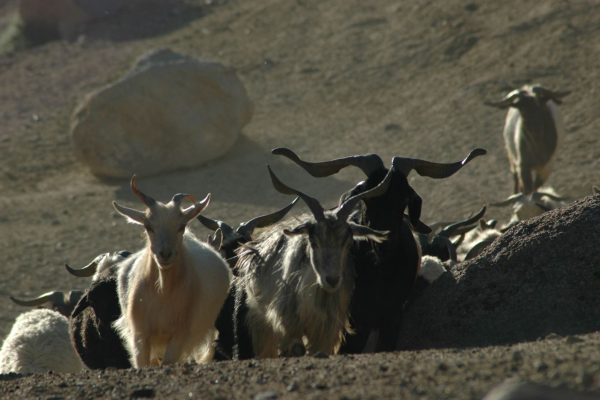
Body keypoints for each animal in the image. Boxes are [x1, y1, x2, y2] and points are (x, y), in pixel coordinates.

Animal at [111, 177, 231, 368]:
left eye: (181, 226)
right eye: (148, 226)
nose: (165, 254)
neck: (163, 292)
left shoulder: (180, 335)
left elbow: (169, 361)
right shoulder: (140, 333)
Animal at [234, 165, 394, 356]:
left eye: (348, 243)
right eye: (314, 242)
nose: (331, 280)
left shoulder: (326, 333)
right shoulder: (287, 326)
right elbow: (296, 348)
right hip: (261, 324)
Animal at [274, 146, 486, 350]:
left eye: (403, 200)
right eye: (367, 199)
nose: (383, 241)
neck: (380, 270)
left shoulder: (392, 315)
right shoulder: (355, 318)